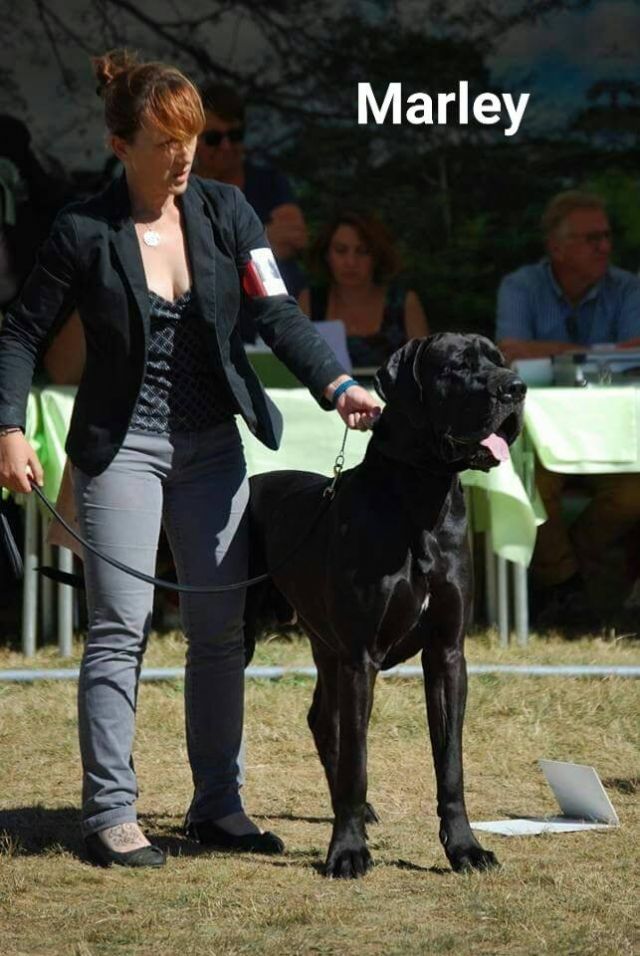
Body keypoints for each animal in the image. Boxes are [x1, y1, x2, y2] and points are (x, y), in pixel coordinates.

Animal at [245, 333, 526, 878]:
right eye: (458, 366)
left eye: (498, 360)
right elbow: (358, 761)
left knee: (321, 718)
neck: (421, 498)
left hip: (326, 645)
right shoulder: (362, 656)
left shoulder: (447, 653)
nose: (517, 388)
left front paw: (465, 848)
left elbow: (450, 763)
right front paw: (347, 851)